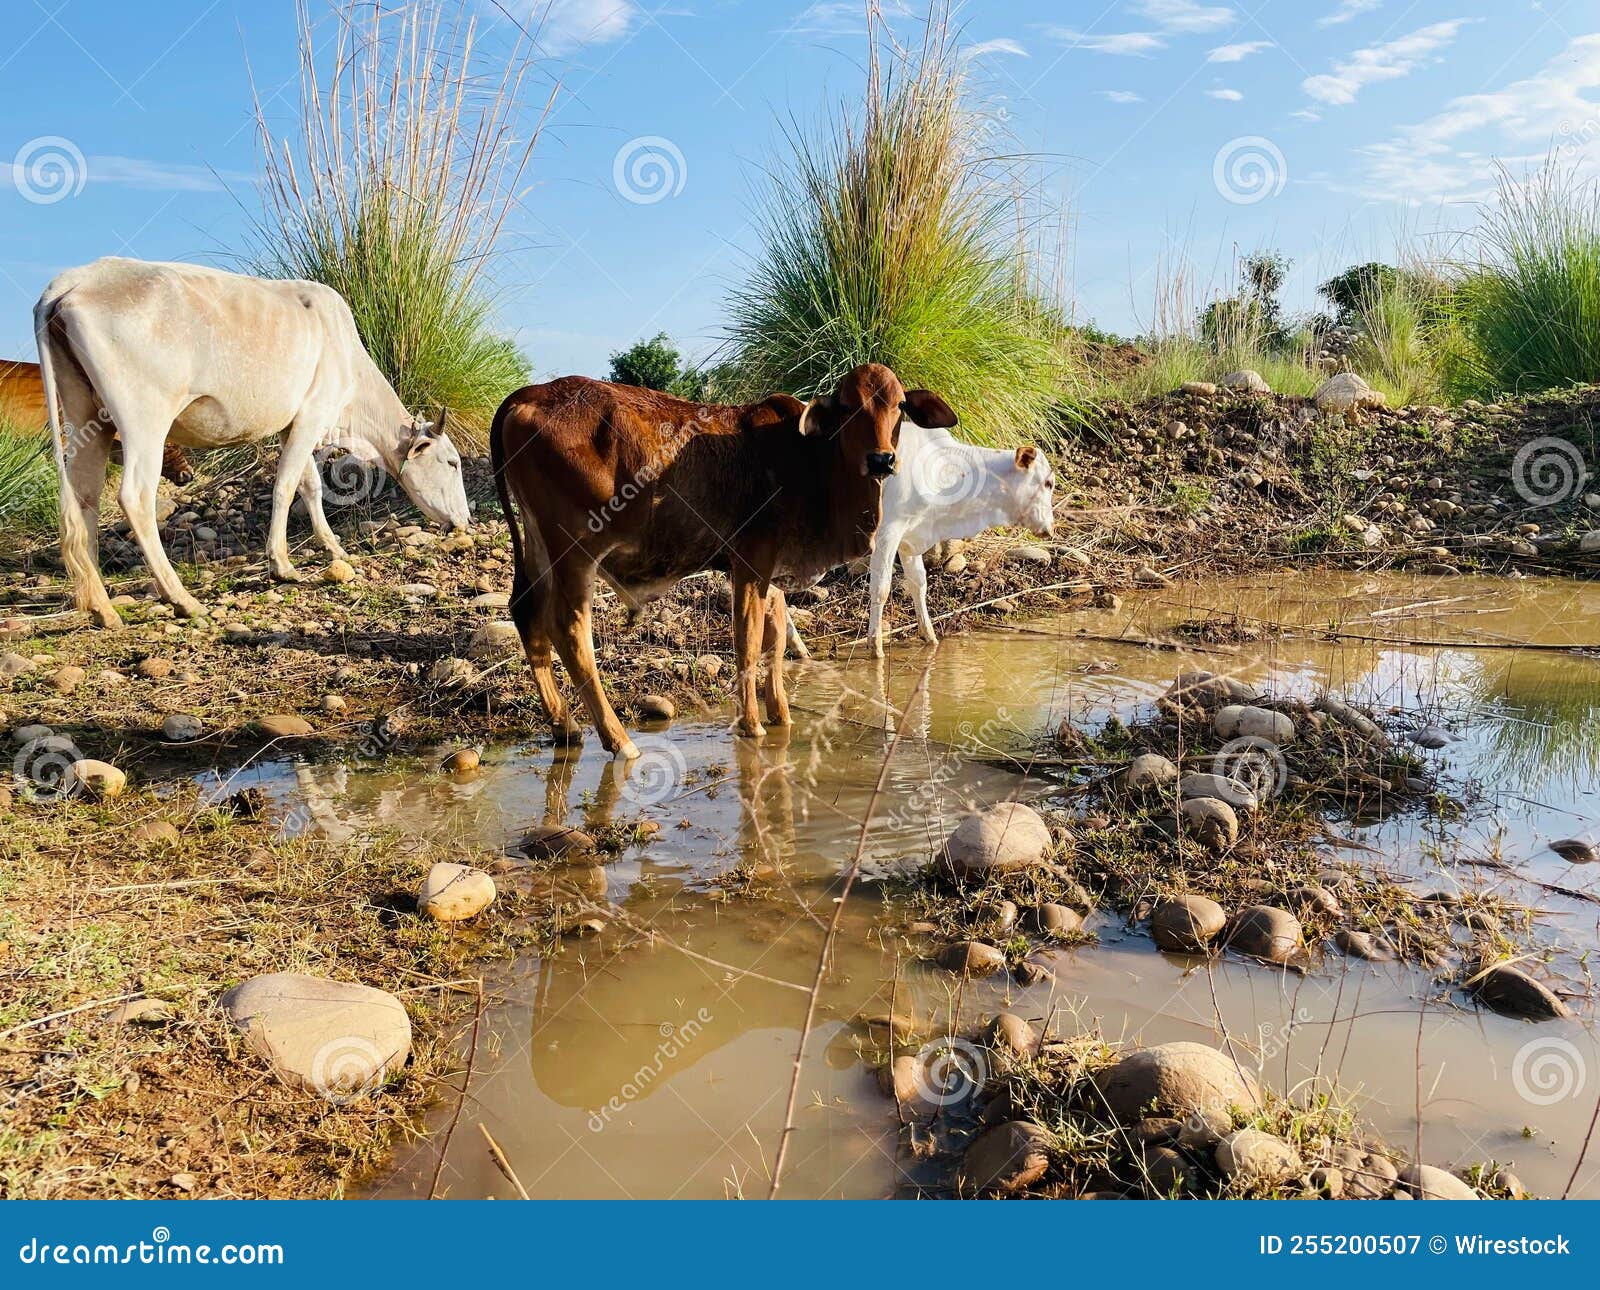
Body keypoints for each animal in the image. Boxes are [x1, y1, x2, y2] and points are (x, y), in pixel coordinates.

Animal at [34, 258, 471, 628]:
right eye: (452, 463)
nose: (466, 521)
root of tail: (74, 279)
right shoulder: (313, 413)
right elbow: (286, 486)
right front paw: (281, 564)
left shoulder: (292, 424)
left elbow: (310, 485)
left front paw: (334, 548)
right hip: (144, 418)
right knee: (134, 497)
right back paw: (182, 599)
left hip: (87, 417)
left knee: (83, 500)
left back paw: (103, 608)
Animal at [491, 364, 958, 758]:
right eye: (848, 406)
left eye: (899, 405)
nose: (882, 459)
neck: (811, 461)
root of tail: (531, 393)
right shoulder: (750, 563)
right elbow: (747, 641)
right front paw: (752, 725)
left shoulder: (771, 573)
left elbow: (776, 637)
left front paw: (781, 715)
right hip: (575, 549)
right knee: (569, 629)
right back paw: (618, 739)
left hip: (538, 544)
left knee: (527, 614)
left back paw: (565, 727)